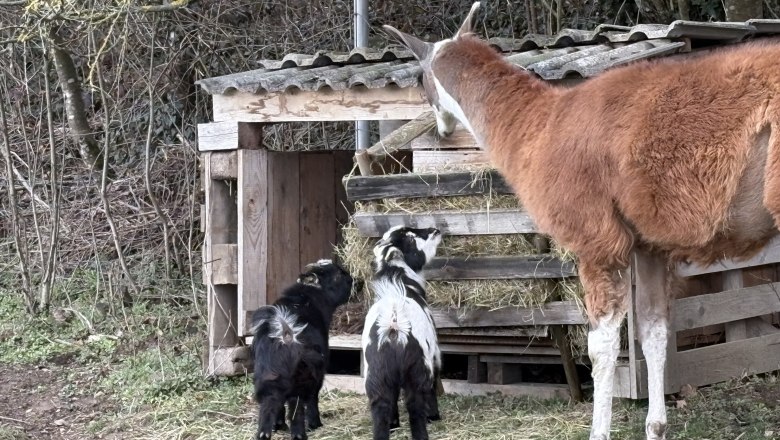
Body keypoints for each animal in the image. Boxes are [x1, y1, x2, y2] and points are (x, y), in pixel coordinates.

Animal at [250, 259, 359, 440]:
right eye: (339, 274)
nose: (358, 282)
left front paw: (279, 426)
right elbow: (313, 398)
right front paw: (315, 424)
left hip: (267, 378)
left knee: (270, 406)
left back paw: (271, 430)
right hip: (302, 378)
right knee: (297, 407)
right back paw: (301, 433)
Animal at [361, 225, 443, 440]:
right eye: (410, 238)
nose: (435, 230)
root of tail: (394, 328)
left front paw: (394, 424)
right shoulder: (434, 354)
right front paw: (434, 416)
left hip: (377, 377)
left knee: (381, 408)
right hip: (417, 371)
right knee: (415, 406)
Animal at [382, 3, 780, 439]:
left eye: (420, 80)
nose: (440, 130)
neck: (538, 129)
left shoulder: (597, 241)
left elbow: (601, 346)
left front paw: (599, 431)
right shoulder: (648, 245)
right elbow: (654, 331)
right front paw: (656, 426)